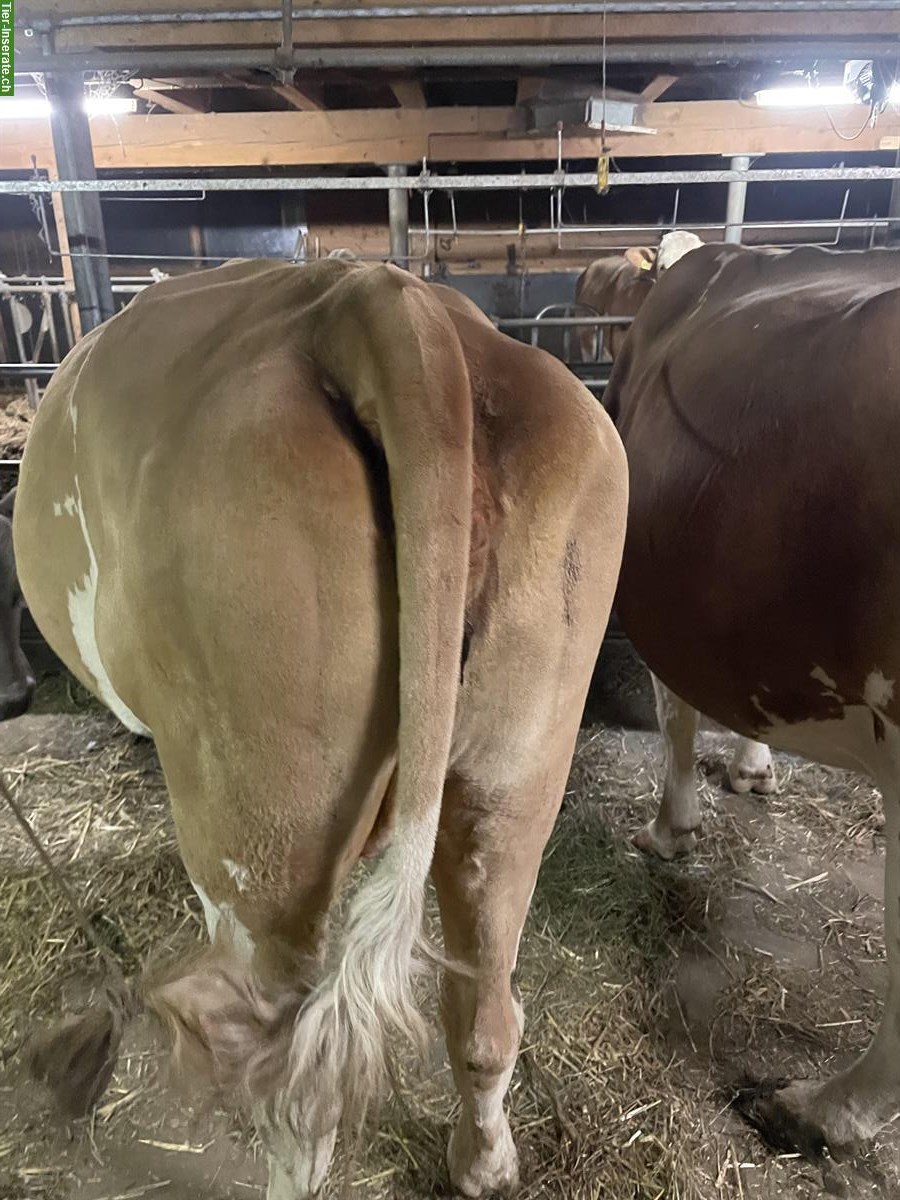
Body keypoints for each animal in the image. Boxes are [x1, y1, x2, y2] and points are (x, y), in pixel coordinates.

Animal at [13, 258, 627, 1199]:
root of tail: (373, 298)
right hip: (515, 778)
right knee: (484, 1011)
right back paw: (484, 1163)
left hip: (256, 836)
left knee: (287, 1080)